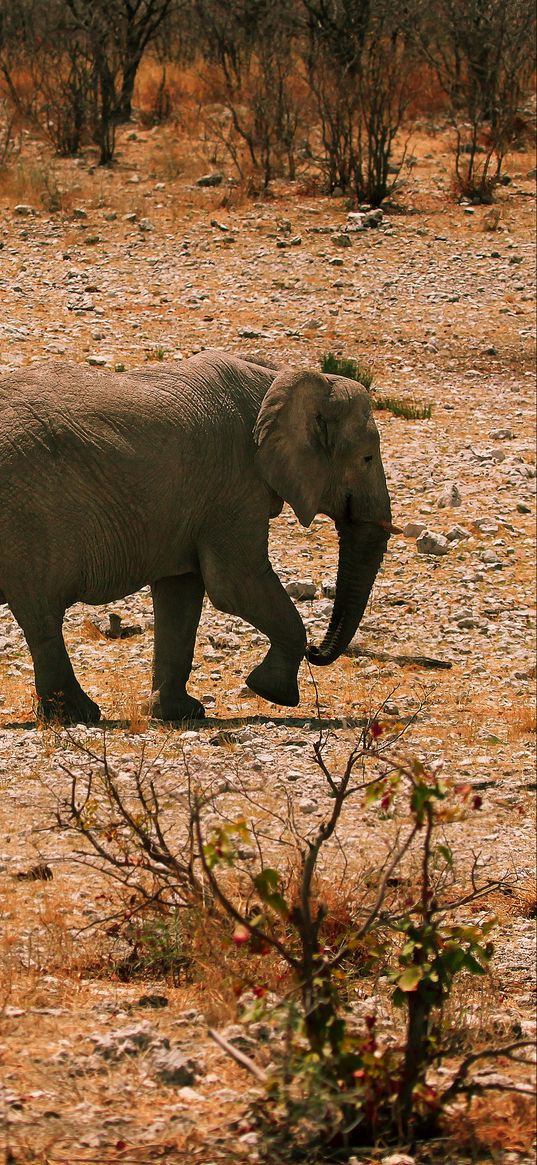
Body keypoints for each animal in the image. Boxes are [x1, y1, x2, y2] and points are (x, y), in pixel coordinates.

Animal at [1, 349, 393, 722]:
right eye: (367, 458)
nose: (316, 652)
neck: (276, 379)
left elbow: (181, 592)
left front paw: (179, 713)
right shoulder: (235, 484)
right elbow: (234, 584)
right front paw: (272, 692)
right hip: (27, 516)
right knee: (42, 612)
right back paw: (78, 715)